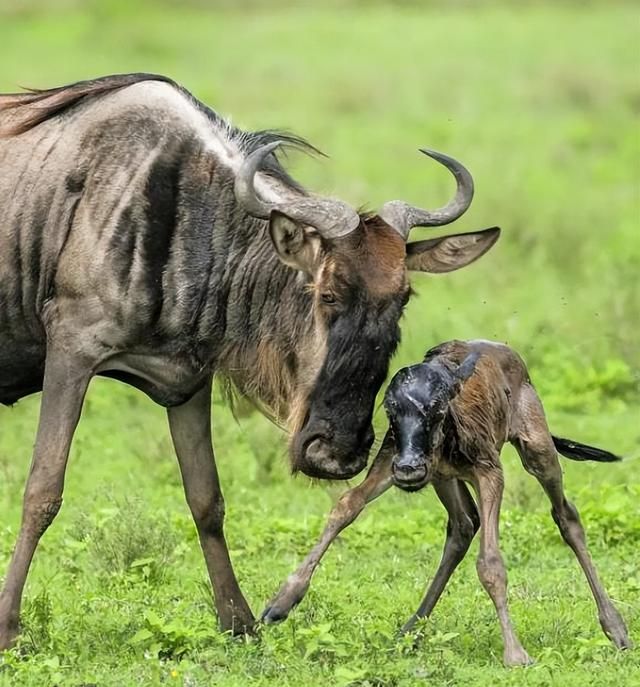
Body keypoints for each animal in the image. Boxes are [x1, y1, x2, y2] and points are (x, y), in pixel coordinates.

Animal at [262, 340, 632, 668]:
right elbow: (346, 505)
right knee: (463, 525)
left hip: (536, 447)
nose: (409, 468)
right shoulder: (391, 458)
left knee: (565, 516)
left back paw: (616, 629)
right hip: (443, 478)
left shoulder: (489, 471)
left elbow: (490, 563)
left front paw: (516, 654)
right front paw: (281, 603)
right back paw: (409, 632)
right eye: (390, 410)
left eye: (438, 409)